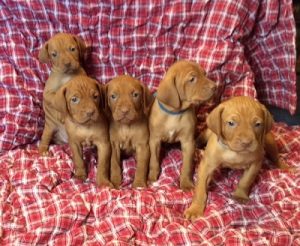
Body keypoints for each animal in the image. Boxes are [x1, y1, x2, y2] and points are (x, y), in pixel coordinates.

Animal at [148, 59, 216, 190]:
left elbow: (187, 165)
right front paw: (152, 176)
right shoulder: (154, 140)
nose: (215, 86)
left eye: (204, 74)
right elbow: (154, 160)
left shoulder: (188, 142)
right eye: (192, 79)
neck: (174, 113)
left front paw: (186, 183)